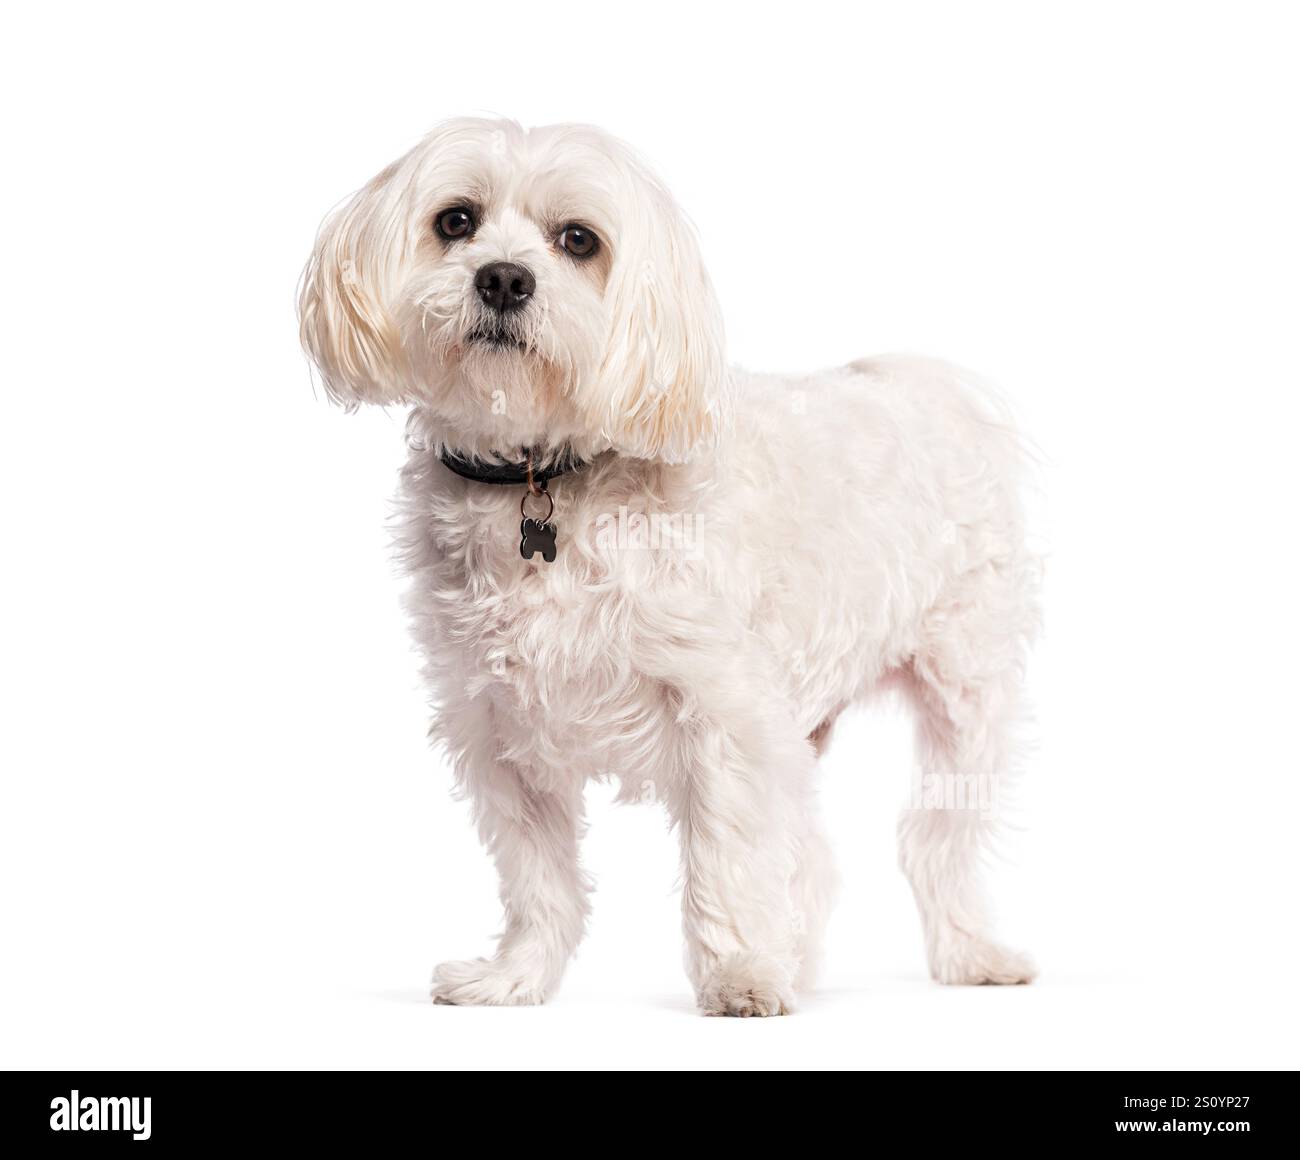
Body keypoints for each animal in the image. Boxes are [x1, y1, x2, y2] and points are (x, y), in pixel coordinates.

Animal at [299, 117, 1040, 1014]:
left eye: (578, 240)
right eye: (455, 221)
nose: (504, 278)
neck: (546, 473)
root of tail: (919, 385)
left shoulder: (728, 714)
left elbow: (729, 857)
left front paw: (742, 973)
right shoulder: (497, 728)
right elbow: (539, 878)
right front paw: (516, 977)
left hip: (965, 688)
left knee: (938, 837)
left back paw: (970, 955)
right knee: (815, 861)